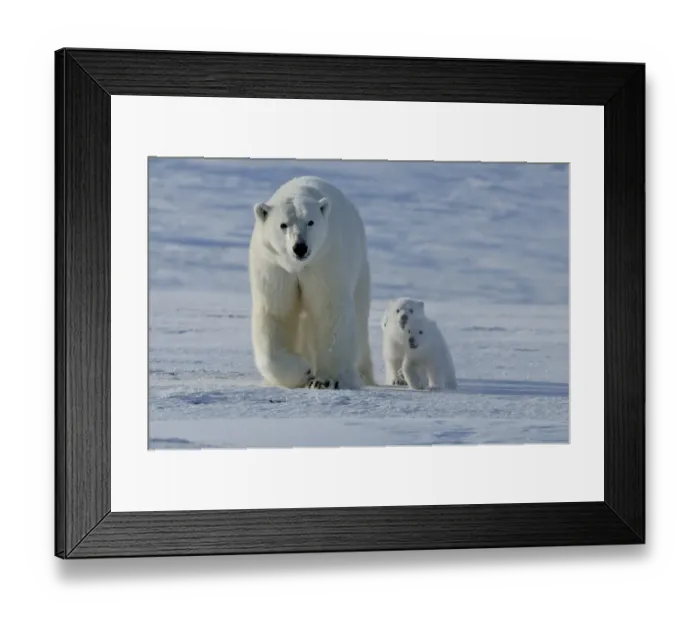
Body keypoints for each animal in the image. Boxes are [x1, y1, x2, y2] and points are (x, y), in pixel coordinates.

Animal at [248, 175, 375, 390]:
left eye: (310, 221)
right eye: (283, 224)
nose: (300, 247)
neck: (298, 266)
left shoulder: (325, 262)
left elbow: (328, 311)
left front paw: (327, 379)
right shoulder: (275, 268)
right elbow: (277, 313)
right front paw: (303, 370)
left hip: (358, 268)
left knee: (359, 317)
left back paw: (362, 375)